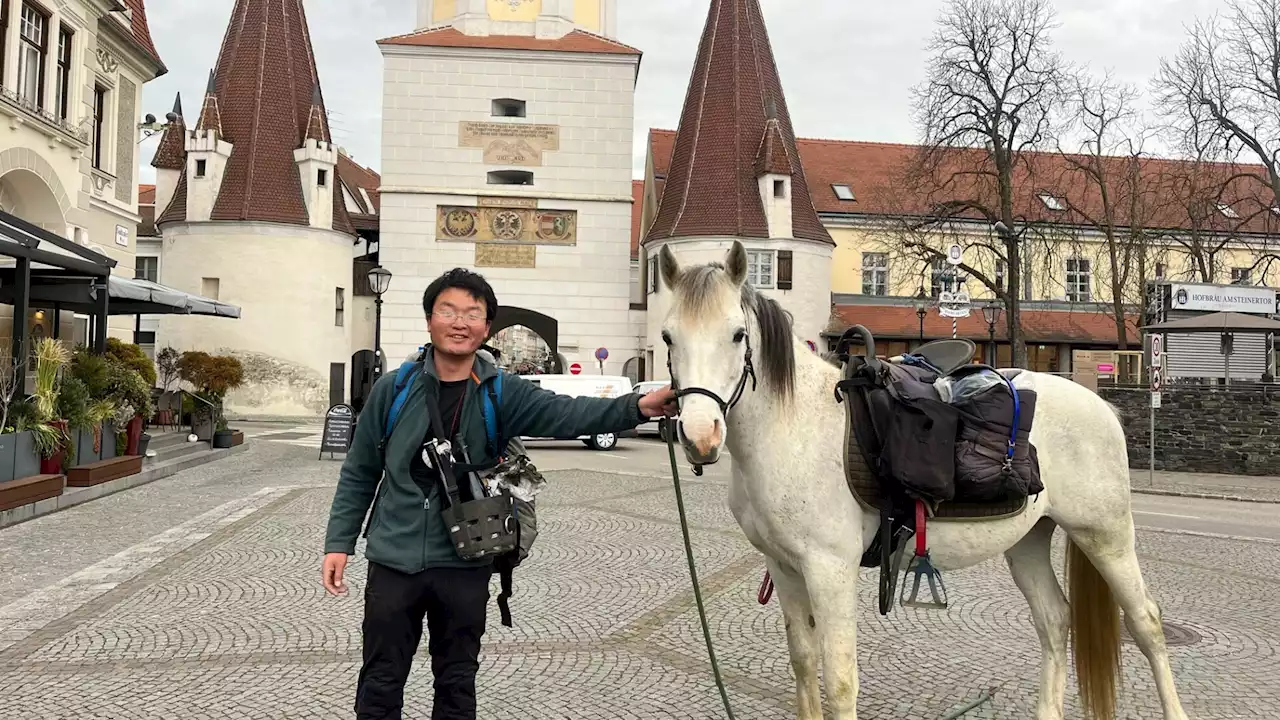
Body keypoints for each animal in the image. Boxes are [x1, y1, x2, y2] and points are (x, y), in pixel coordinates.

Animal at [660, 242, 1187, 717]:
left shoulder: (830, 570)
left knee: (1147, 624)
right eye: (668, 337)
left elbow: (840, 681)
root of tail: (1102, 408)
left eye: (736, 335)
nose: (701, 435)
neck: (793, 427)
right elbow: (805, 665)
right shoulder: (785, 569)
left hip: (1106, 536)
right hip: (1029, 539)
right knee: (1055, 621)